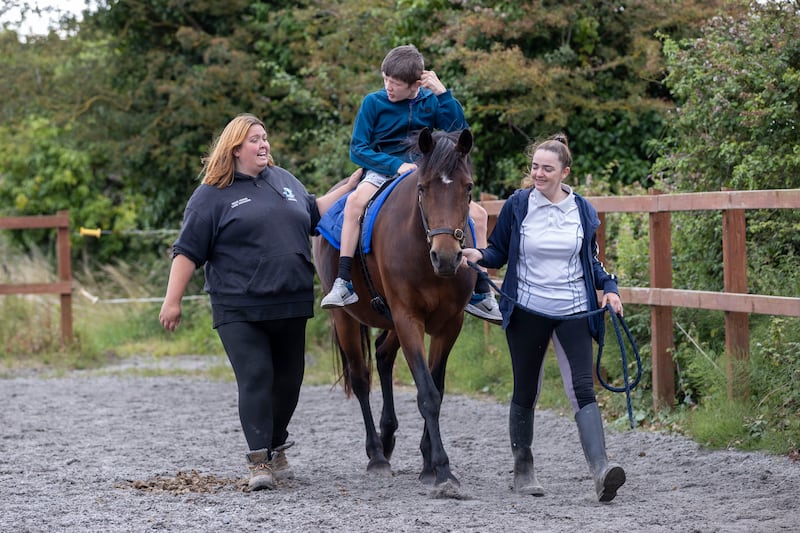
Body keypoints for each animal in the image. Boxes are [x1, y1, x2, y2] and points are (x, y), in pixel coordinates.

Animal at [312, 127, 477, 495]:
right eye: (423, 188)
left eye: (468, 187)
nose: (447, 257)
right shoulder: (408, 319)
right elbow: (427, 394)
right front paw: (442, 470)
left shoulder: (450, 324)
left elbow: (437, 387)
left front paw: (428, 462)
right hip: (347, 320)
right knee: (361, 379)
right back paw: (376, 454)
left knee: (383, 355)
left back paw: (387, 436)